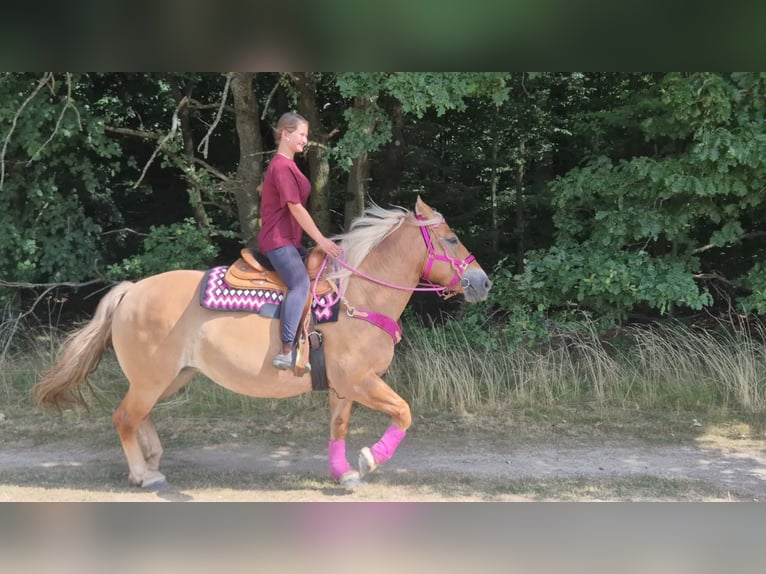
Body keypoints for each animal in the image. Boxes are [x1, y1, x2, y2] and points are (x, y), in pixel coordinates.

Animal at [34, 197, 492, 489]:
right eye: (451, 239)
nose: (483, 281)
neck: (358, 298)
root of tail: (131, 291)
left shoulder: (344, 386)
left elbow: (339, 426)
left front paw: (344, 472)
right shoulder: (361, 381)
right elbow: (403, 412)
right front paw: (369, 459)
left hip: (171, 377)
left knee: (137, 415)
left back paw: (149, 463)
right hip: (152, 378)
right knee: (125, 417)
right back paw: (146, 475)